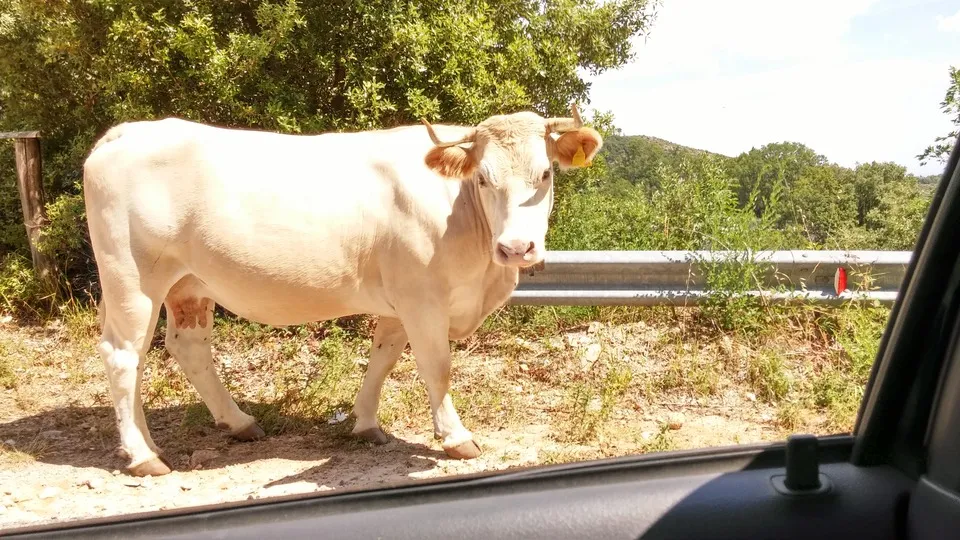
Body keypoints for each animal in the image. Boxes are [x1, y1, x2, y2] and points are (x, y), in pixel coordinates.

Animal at [82, 105, 603, 476]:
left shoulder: (399, 300)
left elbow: (383, 358)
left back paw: (238, 423)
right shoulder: (422, 298)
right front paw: (455, 437)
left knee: (187, 347)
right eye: (483, 177)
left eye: (545, 174)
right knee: (123, 355)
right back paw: (144, 455)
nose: (516, 248)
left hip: (187, 284)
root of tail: (126, 132)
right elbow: (436, 368)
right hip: (133, 279)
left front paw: (367, 425)